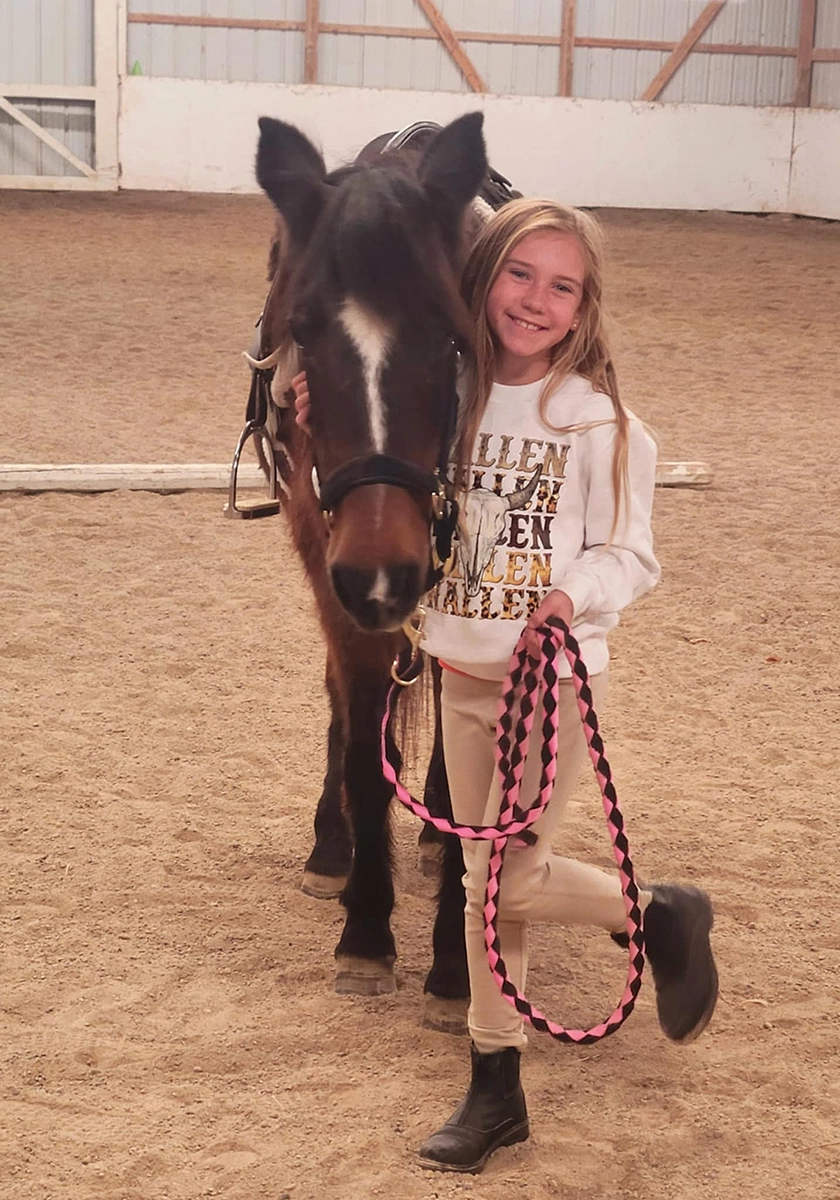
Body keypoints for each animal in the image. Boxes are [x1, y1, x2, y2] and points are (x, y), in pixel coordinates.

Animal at [241, 113, 494, 1027]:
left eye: (451, 335)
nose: (384, 570)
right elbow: (359, 743)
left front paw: (454, 967)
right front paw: (365, 934)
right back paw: (332, 848)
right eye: (306, 328)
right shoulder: (335, 577)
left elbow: (457, 782)